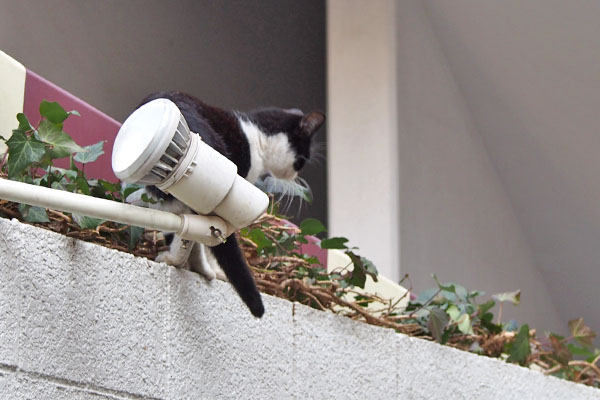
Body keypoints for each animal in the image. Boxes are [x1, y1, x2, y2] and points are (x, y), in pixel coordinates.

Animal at [134, 91, 326, 318]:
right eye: (301, 161)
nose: (296, 175)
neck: (256, 136)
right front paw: (215, 270)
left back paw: (182, 262)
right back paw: (194, 265)